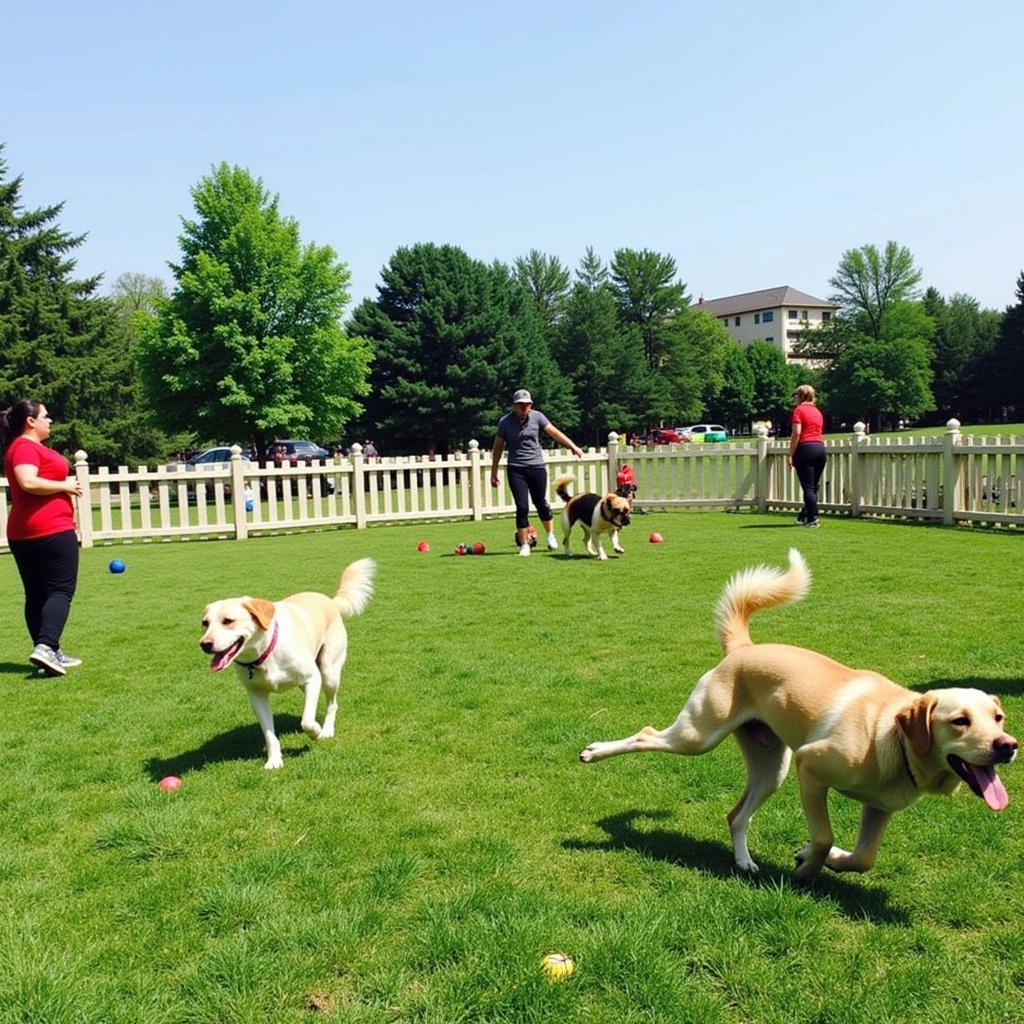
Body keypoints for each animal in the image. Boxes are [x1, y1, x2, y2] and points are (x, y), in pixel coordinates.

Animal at [199, 561, 376, 770]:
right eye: (205, 623)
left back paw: (326, 730)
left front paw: (316, 731)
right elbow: (269, 735)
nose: (204, 644)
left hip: (328, 671)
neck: (265, 654)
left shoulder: (312, 678)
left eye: (227, 621)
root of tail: (331, 601)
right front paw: (274, 760)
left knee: (332, 703)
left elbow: (306, 721)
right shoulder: (256, 696)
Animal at [581, 552, 1019, 880]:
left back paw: (744, 862)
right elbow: (823, 835)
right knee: (646, 734)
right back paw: (593, 752)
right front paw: (808, 865)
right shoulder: (810, 768)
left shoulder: (877, 807)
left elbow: (865, 858)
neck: (890, 735)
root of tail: (743, 647)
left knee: (735, 816)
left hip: (770, 767)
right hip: (700, 736)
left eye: (998, 717)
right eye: (960, 721)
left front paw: (832, 859)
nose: (1008, 746)